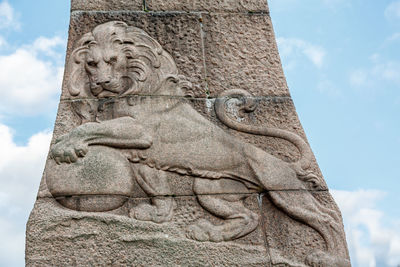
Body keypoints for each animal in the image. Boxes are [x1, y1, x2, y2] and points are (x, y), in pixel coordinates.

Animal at [50, 22, 350, 266]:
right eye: (91, 64)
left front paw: (64, 146)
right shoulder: (144, 156)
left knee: (327, 218)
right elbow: (160, 190)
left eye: (112, 60)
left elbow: (91, 126)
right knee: (249, 217)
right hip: (211, 189)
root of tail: (285, 164)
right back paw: (209, 233)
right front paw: (156, 217)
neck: (132, 88)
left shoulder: (141, 130)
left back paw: (329, 258)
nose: (101, 83)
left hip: (283, 189)